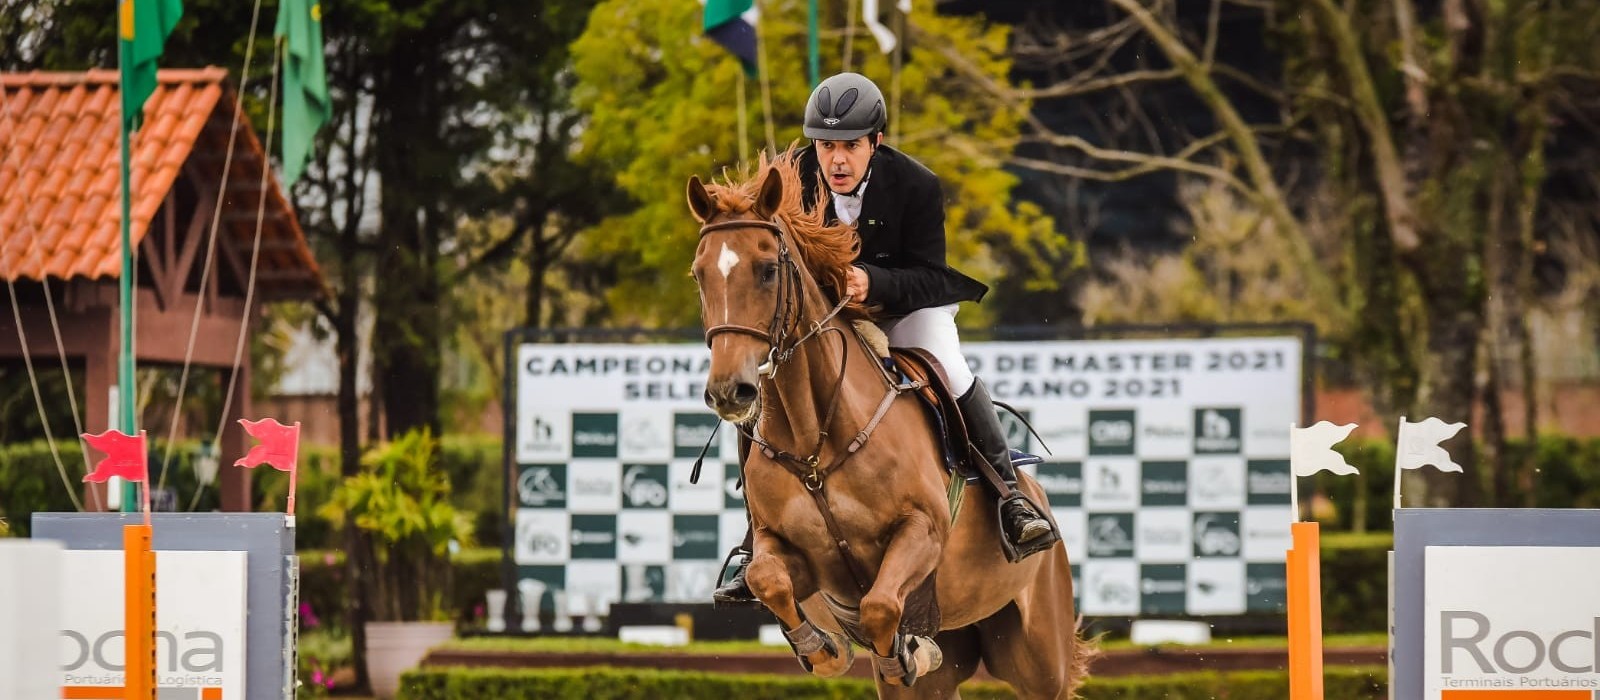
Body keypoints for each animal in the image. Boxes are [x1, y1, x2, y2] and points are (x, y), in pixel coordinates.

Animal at [681, 154, 1094, 700]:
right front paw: (826, 650)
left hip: (1041, 657)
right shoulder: (787, 550)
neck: (814, 441)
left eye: (768, 270)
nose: (730, 391)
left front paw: (904, 650)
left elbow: (880, 606)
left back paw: (1023, 521)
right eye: (699, 275)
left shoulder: (923, 533)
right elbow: (768, 578)